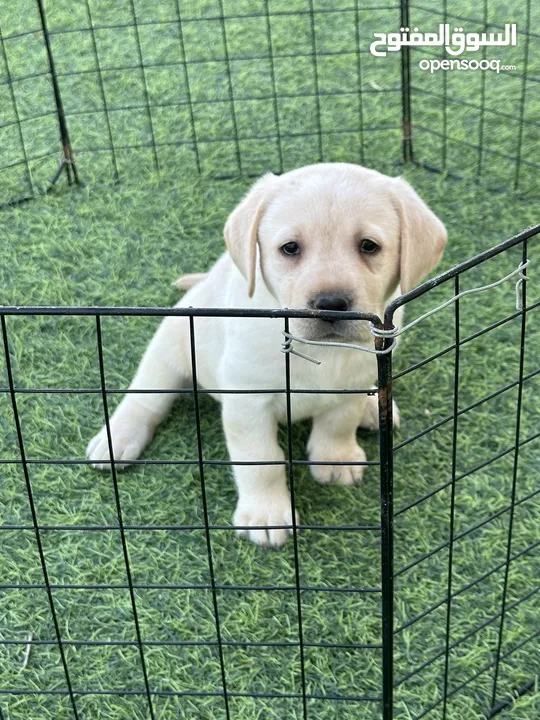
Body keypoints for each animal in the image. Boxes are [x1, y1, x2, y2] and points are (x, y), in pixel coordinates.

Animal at [86, 163, 446, 544]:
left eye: (369, 246)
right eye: (290, 248)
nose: (331, 304)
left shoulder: (352, 382)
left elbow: (338, 422)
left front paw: (335, 459)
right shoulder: (248, 402)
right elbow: (261, 460)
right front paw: (267, 514)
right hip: (171, 346)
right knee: (145, 399)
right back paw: (117, 439)